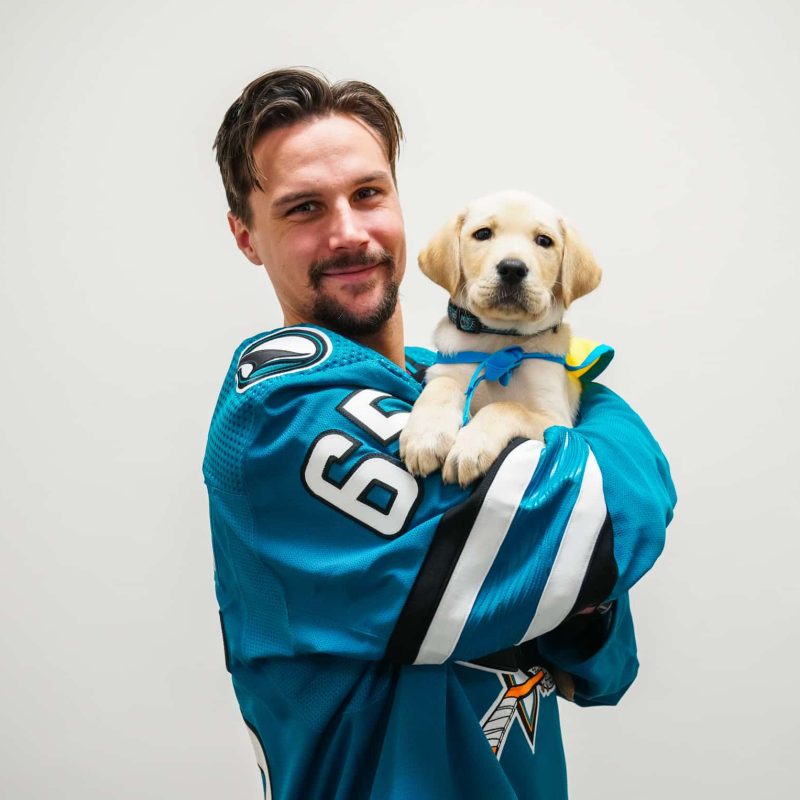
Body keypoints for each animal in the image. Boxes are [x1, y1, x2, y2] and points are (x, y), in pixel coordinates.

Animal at [400, 191, 600, 488]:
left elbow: (507, 407)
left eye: (544, 241)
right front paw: (426, 437)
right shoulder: (445, 370)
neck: (498, 342)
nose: (513, 268)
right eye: (483, 234)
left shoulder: (556, 420)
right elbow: (442, 386)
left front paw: (470, 448)